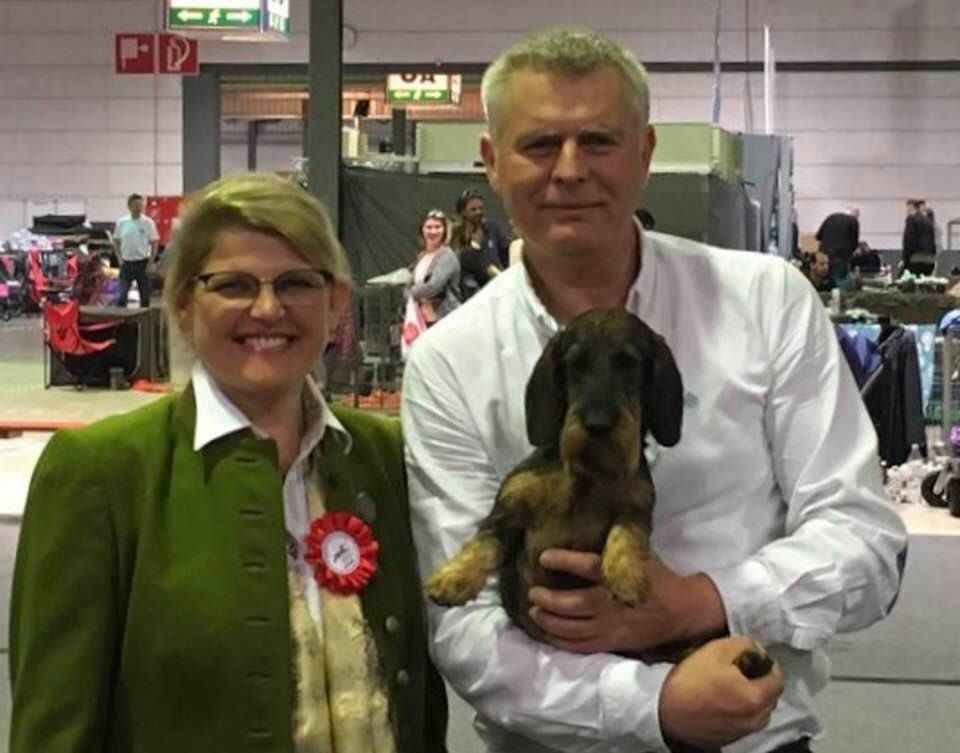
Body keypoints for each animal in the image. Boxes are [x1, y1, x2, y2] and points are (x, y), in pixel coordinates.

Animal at [428, 306, 772, 676]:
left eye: (628, 363)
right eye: (574, 365)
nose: (597, 424)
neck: (586, 474)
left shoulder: (636, 506)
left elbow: (627, 534)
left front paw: (626, 574)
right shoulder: (509, 509)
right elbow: (483, 542)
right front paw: (453, 578)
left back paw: (752, 657)